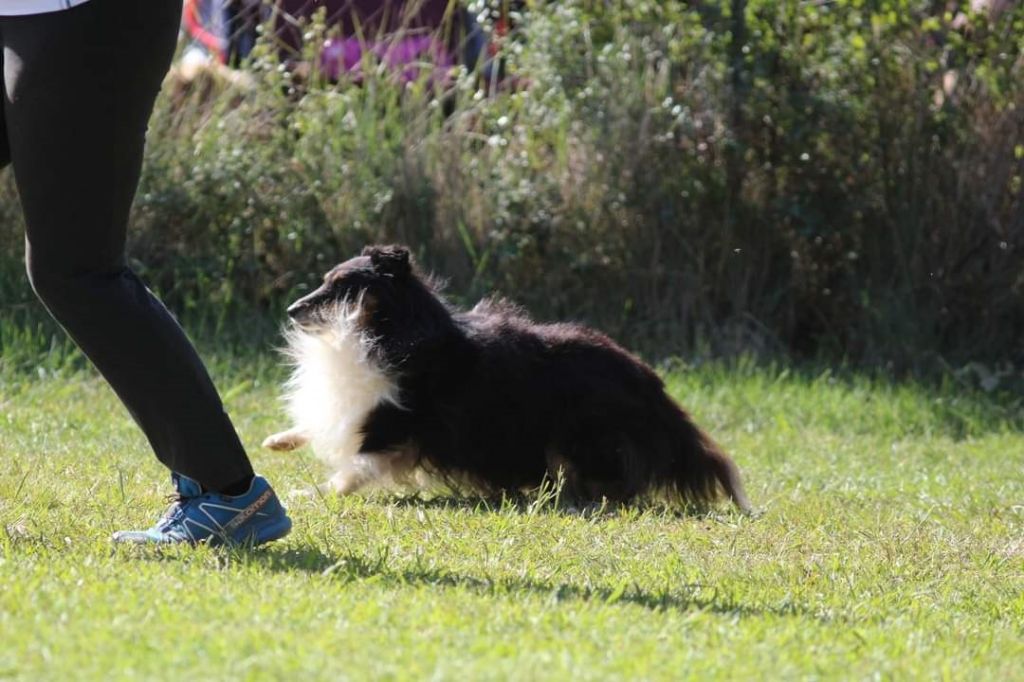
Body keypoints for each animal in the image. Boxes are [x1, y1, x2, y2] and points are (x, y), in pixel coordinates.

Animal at [264, 244, 753, 509]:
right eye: (325, 281)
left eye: (340, 287)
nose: (289, 309)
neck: (388, 327)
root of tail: (647, 379)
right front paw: (278, 440)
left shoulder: (395, 421)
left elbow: (358, 465)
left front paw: (312, 493)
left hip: (585, 434)